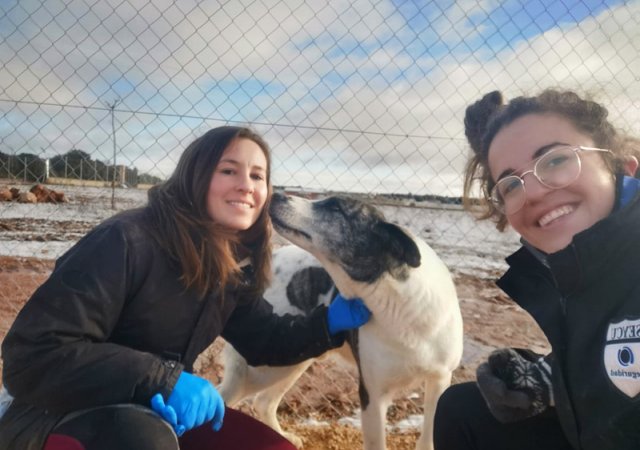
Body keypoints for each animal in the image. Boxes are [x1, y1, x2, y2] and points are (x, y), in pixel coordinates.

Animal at [218, 193, 462, 450]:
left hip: (293, 358)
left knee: (263, 402)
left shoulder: (440, 381)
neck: (396, 309)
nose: (276, 195)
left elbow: (428, 439)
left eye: (335, 207)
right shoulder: (372, 395)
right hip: (264, 366)